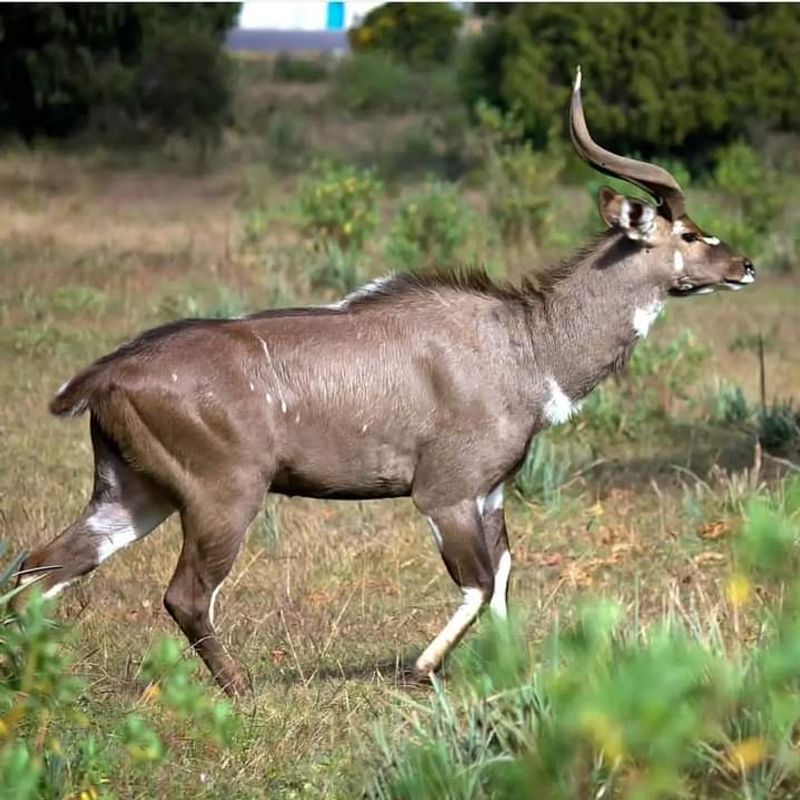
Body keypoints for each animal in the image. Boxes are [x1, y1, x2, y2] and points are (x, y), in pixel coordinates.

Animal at [18, 70, 756, 692]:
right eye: (690, 233)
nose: (745, 265)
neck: (525, 343)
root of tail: (108, 374)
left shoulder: (491, 494)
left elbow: (504, 579)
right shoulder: (444, 494)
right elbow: (476, 584)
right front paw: (420, 669)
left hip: (130, 494)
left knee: (40, 567)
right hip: (222, 498)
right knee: (184, 595)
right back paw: (241, 690)